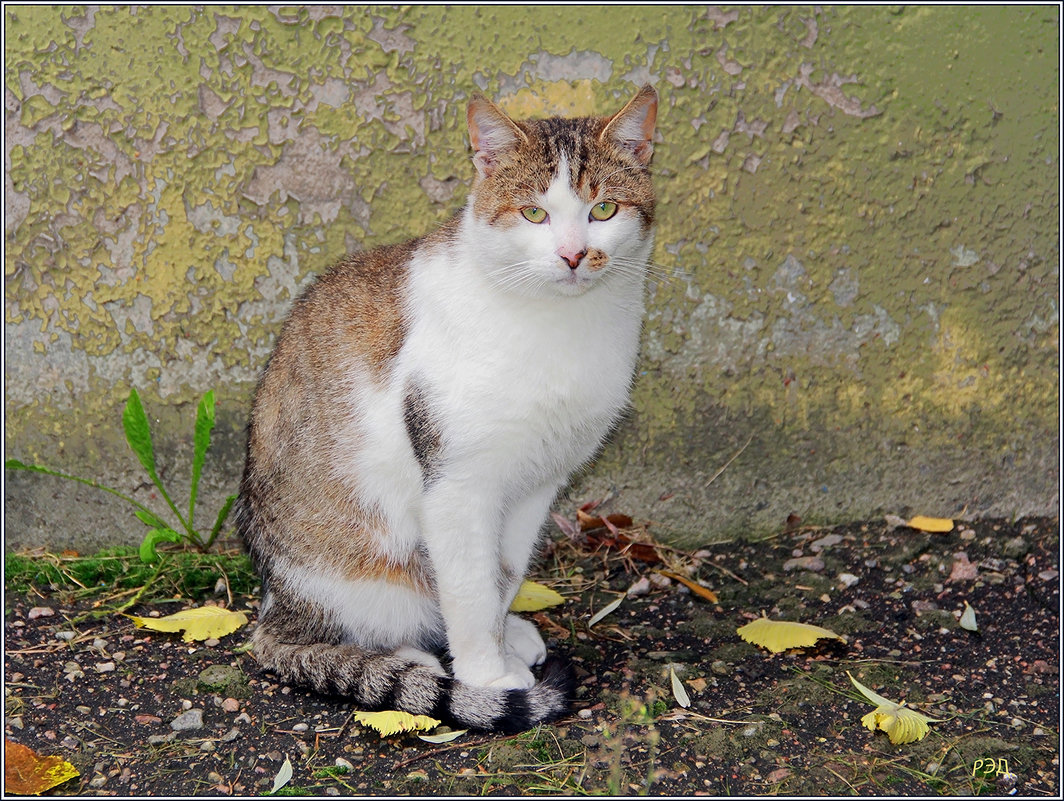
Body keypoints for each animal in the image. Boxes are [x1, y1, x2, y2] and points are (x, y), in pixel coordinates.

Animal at [235, 82, 655, 731]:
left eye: (604, 210)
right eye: (534, 213)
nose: (573, 255)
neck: (559, 323)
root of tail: (274, 605)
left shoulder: (536, 483)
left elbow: (502, 576)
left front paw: (501, 644)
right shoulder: (458, 483)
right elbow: (468, 587)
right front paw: (486, 677)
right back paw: (412, 662)